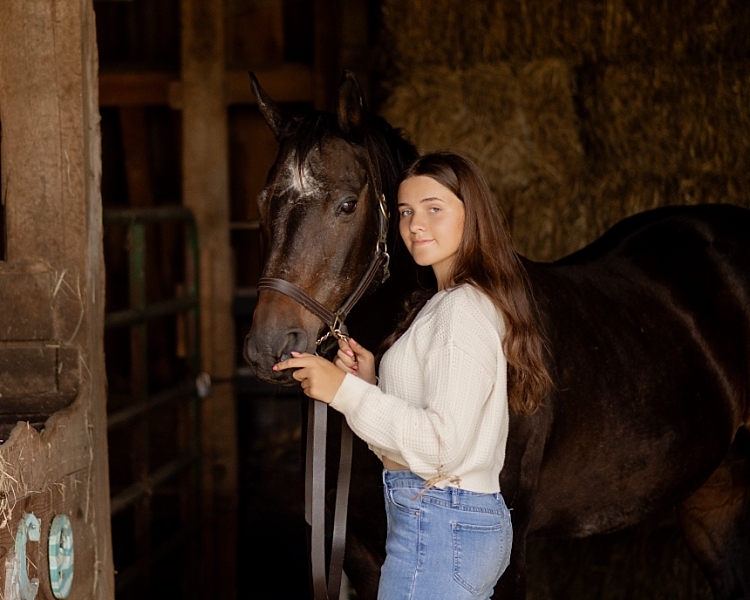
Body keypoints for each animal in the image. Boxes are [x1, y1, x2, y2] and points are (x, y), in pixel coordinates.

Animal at [245, 72, 750, 596]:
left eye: (346, 205)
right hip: (715, 494)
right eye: (263, 203)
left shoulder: (509, 546)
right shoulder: (362, 551)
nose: (269, 347)